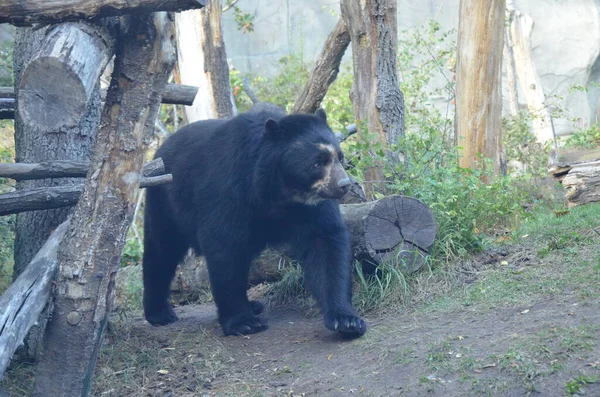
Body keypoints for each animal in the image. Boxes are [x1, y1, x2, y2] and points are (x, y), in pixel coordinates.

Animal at [143, 106, 368, 336]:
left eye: (339, 157)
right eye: (317, 163)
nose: (344, 185)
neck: (281, 191)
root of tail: (160, 151)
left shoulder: (313, 205)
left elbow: (326, 242)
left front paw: (346, 321)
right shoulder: (229, 189)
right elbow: (224, 246)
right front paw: (244, 322)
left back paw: (253, 305)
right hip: (165, 200)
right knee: (162, 250)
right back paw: (160, 313)